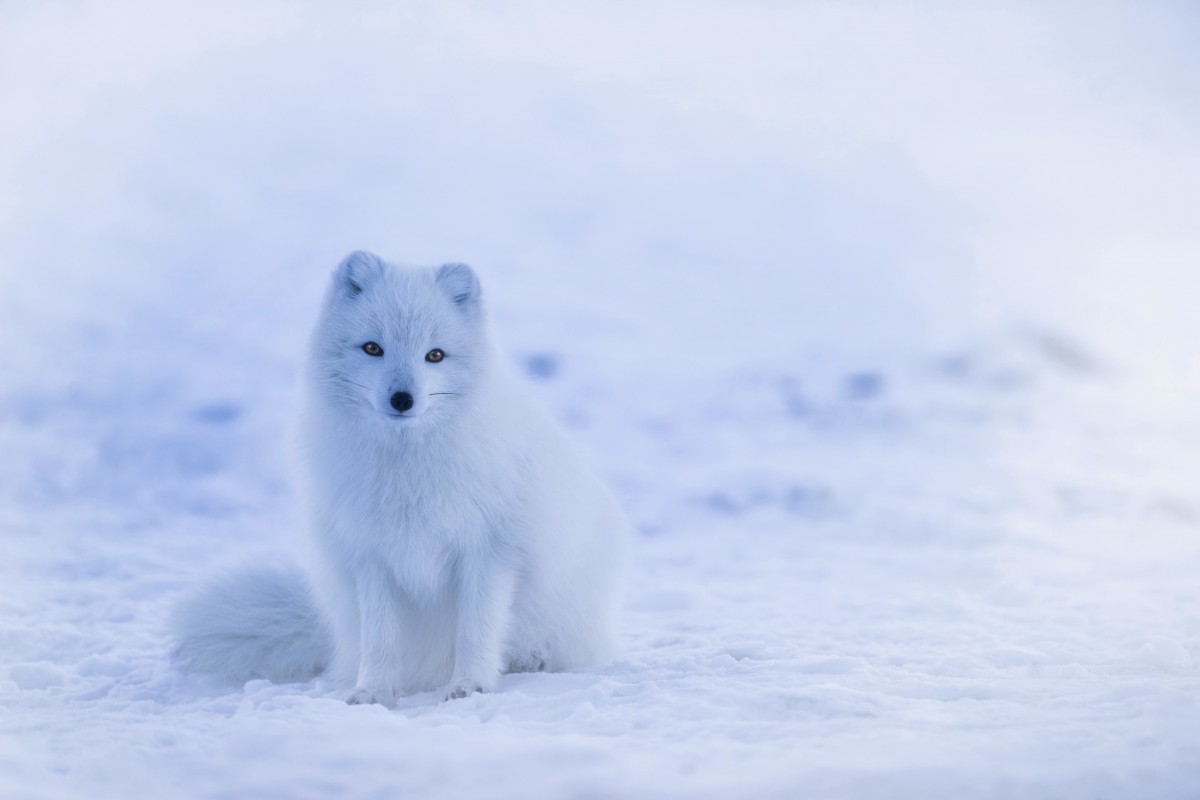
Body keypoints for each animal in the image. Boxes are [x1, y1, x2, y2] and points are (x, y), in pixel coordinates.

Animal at [177, 253, 633, 705]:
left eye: (435, 355)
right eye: (373, 348)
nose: (402, 399)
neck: (407, 468)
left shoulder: (489, 552)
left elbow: (476, 629)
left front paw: (471, 685)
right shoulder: (372, 555)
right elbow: (380, 638)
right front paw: (373, 692)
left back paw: (530, 660)